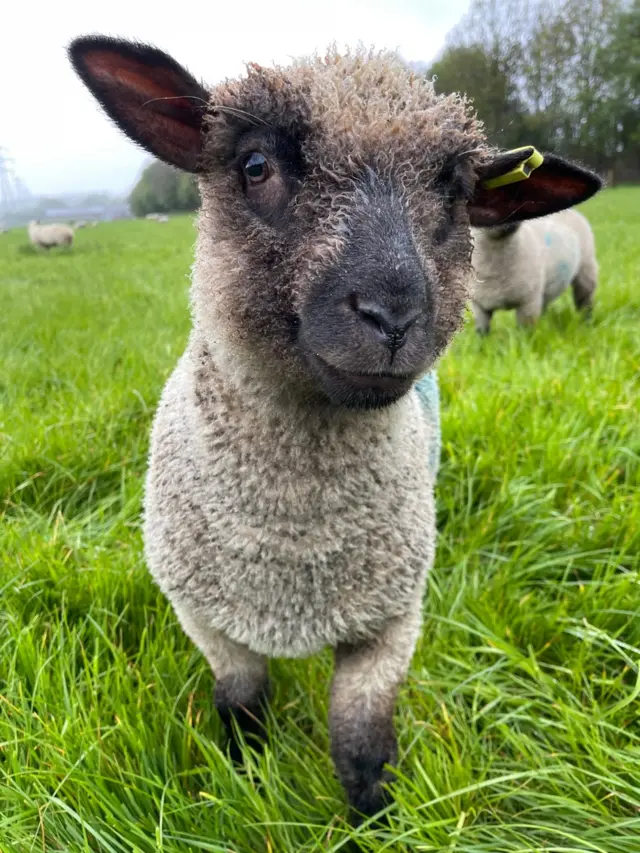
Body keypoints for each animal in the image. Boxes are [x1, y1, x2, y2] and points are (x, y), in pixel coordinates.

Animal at [470, 208, 600, 334]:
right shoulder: (479, 306)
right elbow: (482, 332)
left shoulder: (528, 302)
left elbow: (525, 332)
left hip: (586, 269)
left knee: (585, 303)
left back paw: (586, 325)